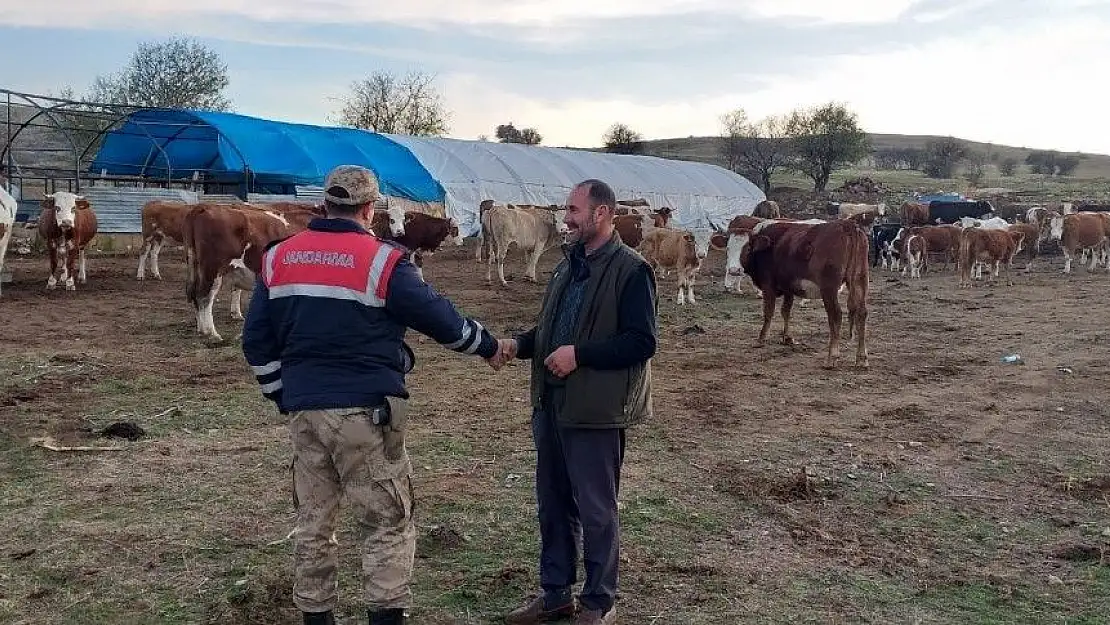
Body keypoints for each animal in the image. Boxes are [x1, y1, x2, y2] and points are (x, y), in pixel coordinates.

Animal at [723, 218, 870, 368]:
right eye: (728, 248)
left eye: (747, 248)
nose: (734, 270)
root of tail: (847, 225)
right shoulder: (788, 287)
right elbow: (785, 311)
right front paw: (787, 337)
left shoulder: (768, 285)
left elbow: (768, 312)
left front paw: (761, 338)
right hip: (860, 280)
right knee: (861, 313)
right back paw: (861, 358)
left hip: (829, 288)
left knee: (835, 315)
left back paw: (832, 357)